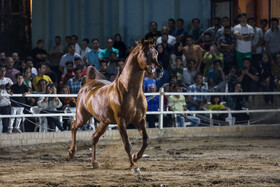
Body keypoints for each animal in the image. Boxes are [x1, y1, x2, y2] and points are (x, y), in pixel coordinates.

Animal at [66, 38, 162, 174]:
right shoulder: (121, 121)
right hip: (82, 117)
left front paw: (135, 157)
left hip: (104, 122)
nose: (159, 71)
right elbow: (127, 144)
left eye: (156, 53)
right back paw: (70, 154)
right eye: (145, 54)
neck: (130, 91)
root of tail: (88, 83)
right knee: (73, 126)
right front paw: (133, 167)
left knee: (94, 137)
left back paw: (94, 162)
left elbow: (146, 140)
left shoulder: (140, 120)